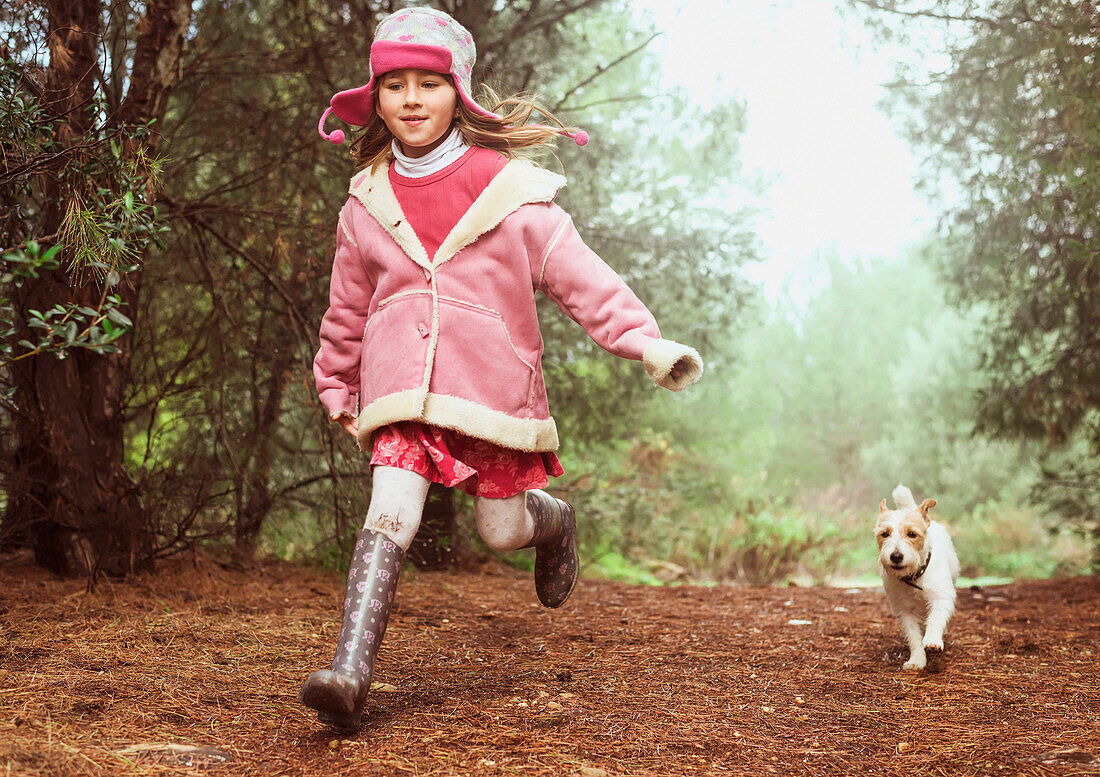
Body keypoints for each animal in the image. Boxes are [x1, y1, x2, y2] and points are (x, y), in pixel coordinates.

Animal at [871, 484, 959, 664]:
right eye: (885, 534)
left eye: (912, 534)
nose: (896, 556)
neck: (914, 576)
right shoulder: (905, 610)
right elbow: (914, 636)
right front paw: (917, 660)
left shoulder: (941, 597)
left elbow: (935, 619)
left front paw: (932, 640)